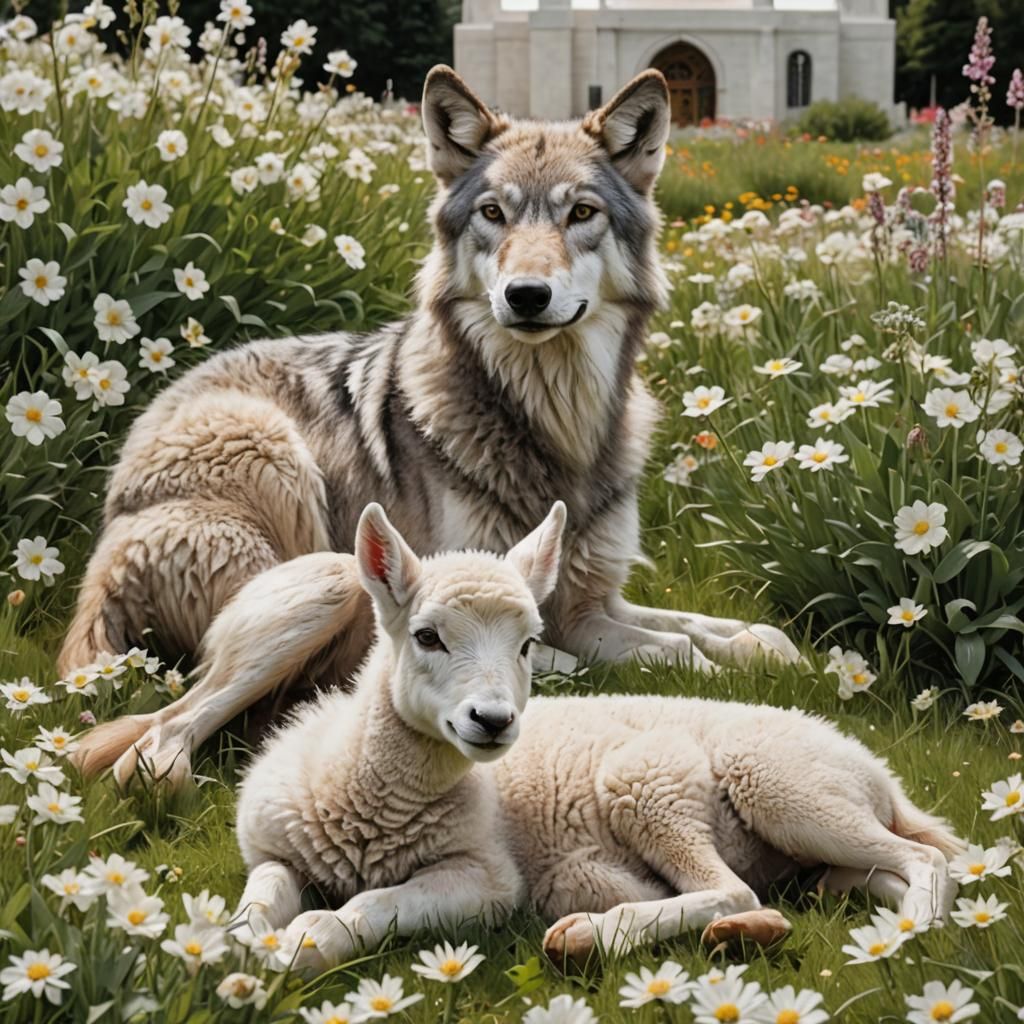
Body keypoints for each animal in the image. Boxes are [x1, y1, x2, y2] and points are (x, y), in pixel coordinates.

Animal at [65, 65, 801, 784]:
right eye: (493, 212)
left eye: (582, 213)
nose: (525, 296)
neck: (554, 424)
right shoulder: (560, 616)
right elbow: (678, 651)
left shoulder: (596, 600)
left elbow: (749, 636)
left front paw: (776, 655)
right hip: (299, 511)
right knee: (158, 736)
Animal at [234, 501, 963, 971]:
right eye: (427, 636)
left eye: (529, 644)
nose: (493, 721)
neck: (359, 789)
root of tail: (875, 770)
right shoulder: (273, 851)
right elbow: (258, 898)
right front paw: (238, 950)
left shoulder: (485, 877)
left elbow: (375, 906)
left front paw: (306, 944)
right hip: (815, 854)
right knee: (887, 871)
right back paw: (767, 932)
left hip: (719, 784)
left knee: (893, 865)